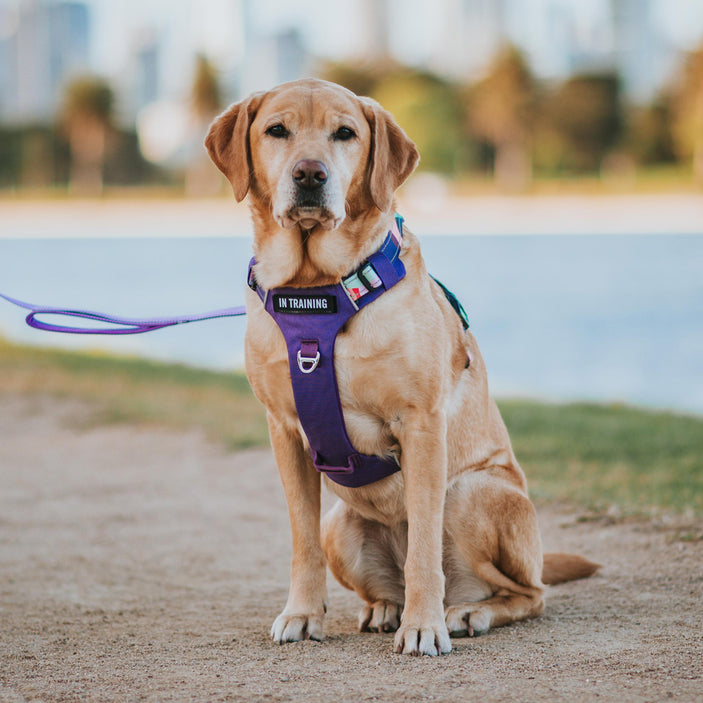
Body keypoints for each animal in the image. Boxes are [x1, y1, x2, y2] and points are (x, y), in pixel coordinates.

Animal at [205, 80, 600, 656]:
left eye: (345, 133)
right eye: (276, 130)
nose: (310, 174)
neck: (317, 291)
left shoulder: (421, 425)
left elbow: (424, 553)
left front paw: (424, 625)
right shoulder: (285, 431)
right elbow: (301, 540)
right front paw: (302, 613)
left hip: (469, 495)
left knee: (528, 592)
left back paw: (468, 612)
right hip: (341, 524)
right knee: (376, 575)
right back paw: (385, 607)